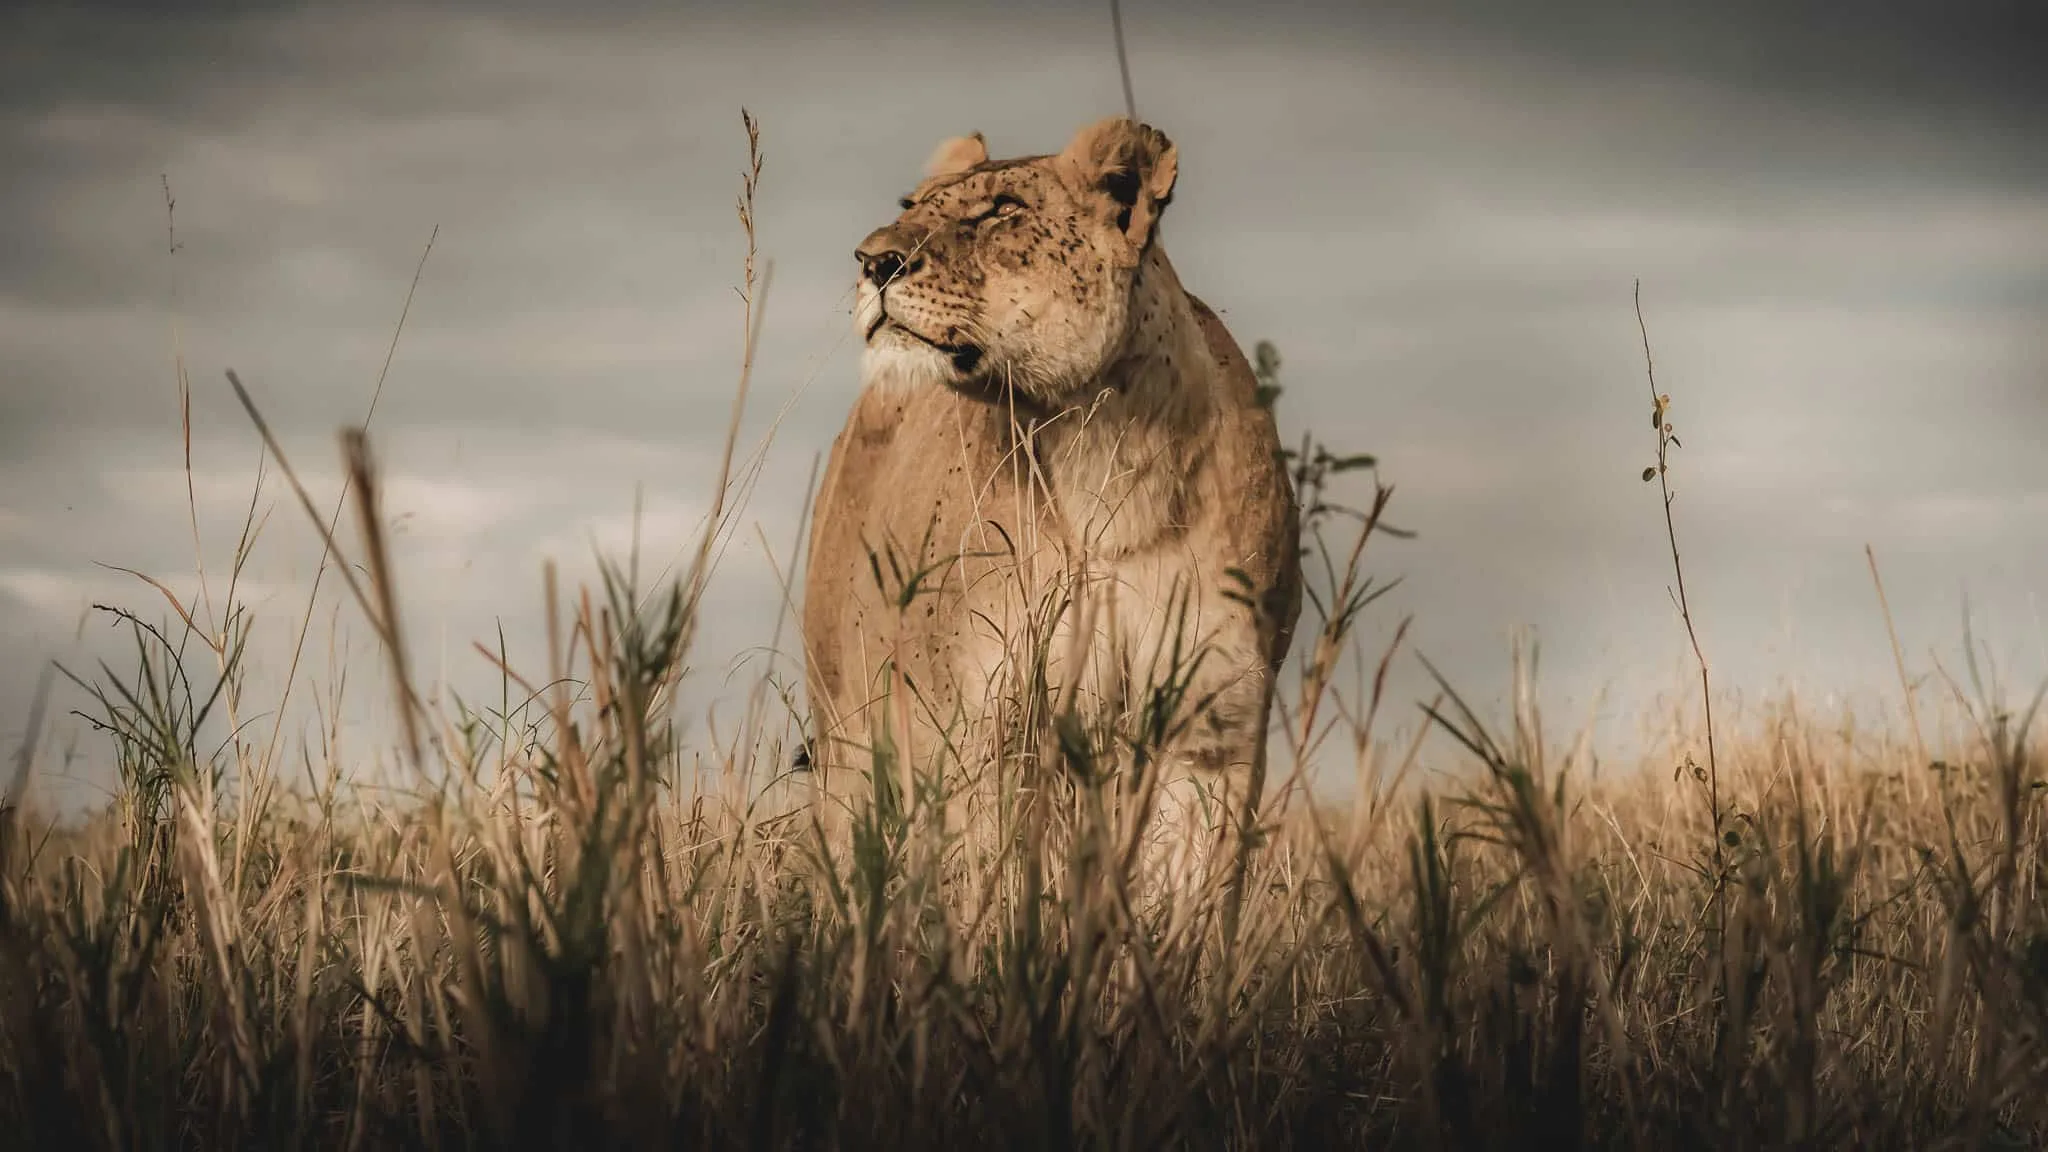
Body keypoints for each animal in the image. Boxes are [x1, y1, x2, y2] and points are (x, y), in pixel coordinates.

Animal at [800, 117, 1301, 884]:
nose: (872, 261)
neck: (1109, 459)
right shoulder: (986, 732)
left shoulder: (1214, 730)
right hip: (846, 734)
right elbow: (993, 880)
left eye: (1001, 211)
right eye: (911, 205)